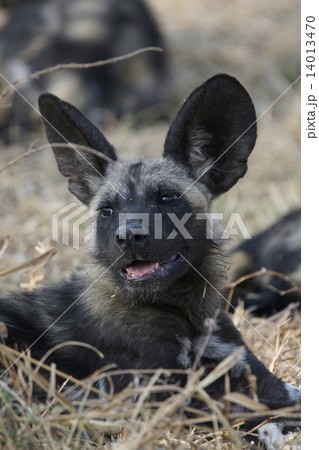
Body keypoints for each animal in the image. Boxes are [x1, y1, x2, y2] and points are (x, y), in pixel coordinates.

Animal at [0, 74, 300, 446]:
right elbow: (254, 415)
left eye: (167, 198)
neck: (186, 314)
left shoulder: (258, 378)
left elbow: (285, 399)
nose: (129, 237)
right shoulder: (159, 397)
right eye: (107, 210)